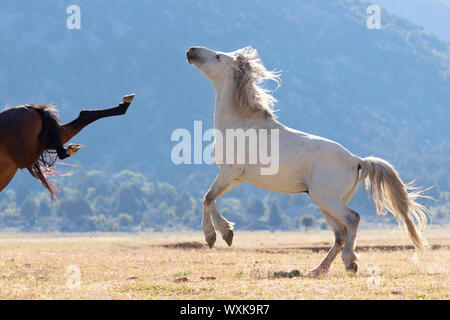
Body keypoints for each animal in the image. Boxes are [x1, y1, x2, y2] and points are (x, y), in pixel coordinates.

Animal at [185, 46, 428, 276]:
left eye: (217, 56)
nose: (190, 51)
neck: (239, 124)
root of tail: (356, 160)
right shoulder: (236, 178)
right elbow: (210, 198)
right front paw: (224, 233)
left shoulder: (230, 172)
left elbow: (208, 197)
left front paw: (217, 235)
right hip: (325, 202)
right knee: (340, 234)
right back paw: (320, 269)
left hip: (327, 198)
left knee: (353, 219)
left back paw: (348, 260)